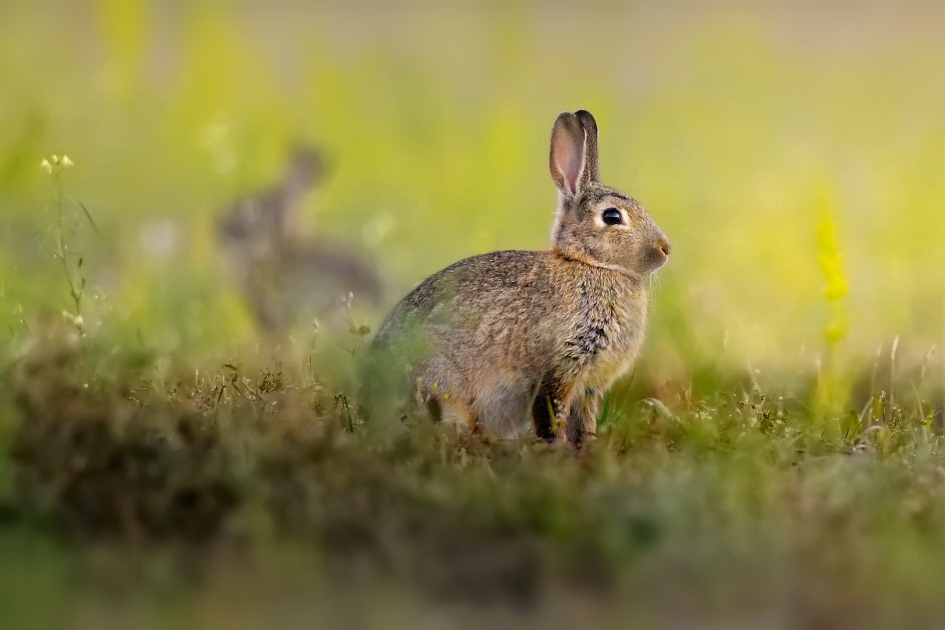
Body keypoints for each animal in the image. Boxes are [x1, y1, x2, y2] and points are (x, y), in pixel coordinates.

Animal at [368, 110, 672, 444]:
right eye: (612, 216)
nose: (666, 248)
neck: (591, 266)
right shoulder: (559, 367)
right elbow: (551, 413)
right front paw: (555, 450)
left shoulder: (589, 385)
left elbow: (583, 423)